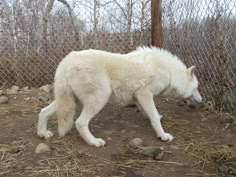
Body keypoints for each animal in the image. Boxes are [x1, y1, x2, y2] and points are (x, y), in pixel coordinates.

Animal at [37, 46, 203, 147]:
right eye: (197, 88)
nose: (202, 100)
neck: (170, 73)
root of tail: (66, 62)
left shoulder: (138, 97)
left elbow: (150, 113)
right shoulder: (144, 93)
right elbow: (155, 117)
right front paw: (162, 136)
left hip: (69, 101)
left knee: (43, 111)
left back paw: (42, 134)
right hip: (100, 98)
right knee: (80, 122)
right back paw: (94, 142)